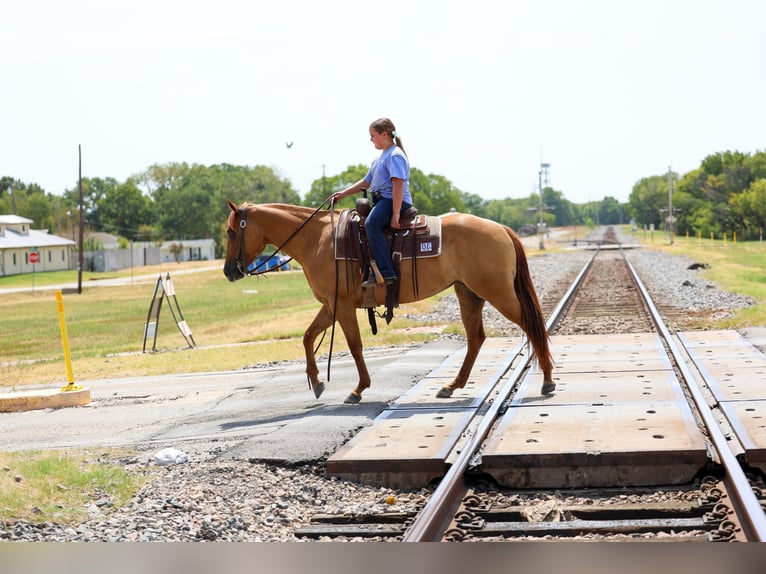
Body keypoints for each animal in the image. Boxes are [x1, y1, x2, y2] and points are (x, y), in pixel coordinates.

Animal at [223, 201, 555, 404]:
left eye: (230, 231)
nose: (228, 272)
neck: (317, 240)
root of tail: (501, 229)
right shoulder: (331, 304)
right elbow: (307, 337)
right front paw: (317, 383)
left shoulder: (342, 305)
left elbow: (354, 345)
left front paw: (358, 389)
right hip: (468, 293)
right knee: (476, 338)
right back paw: (451, 386)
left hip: (498, 293)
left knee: (532, 325)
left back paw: (548, 380)